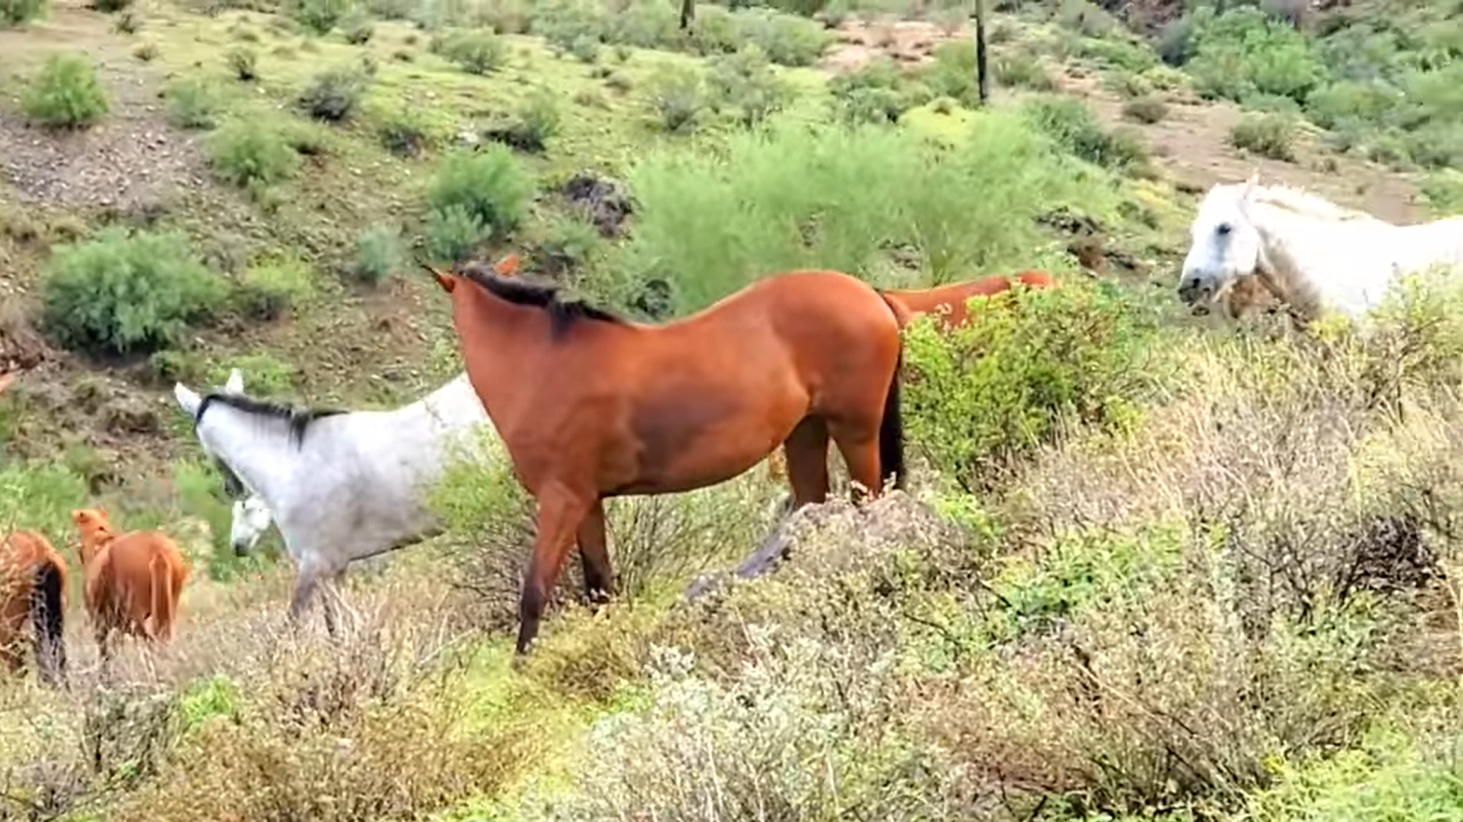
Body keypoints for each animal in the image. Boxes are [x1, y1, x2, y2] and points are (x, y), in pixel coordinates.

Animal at [71, 509, 189, 662]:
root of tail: (157, 550)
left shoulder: (100, 622)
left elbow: (105, 653)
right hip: (168, 609)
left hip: (134, 616)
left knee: (150, 641)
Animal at [171, 367, 499, 635]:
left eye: (248, 508)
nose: (232, 488)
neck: (291, 463)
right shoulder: (335, 569)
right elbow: (338, 628)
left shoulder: (315, 564)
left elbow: (292, 626)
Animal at [428, 259, 906, 656]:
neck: (544, 365)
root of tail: (868, 292)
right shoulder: (588, 503)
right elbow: (600, 587)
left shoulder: (562, 499)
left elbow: (534, 592)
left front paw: (522, 666)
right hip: (805, 435)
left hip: (855, 433)